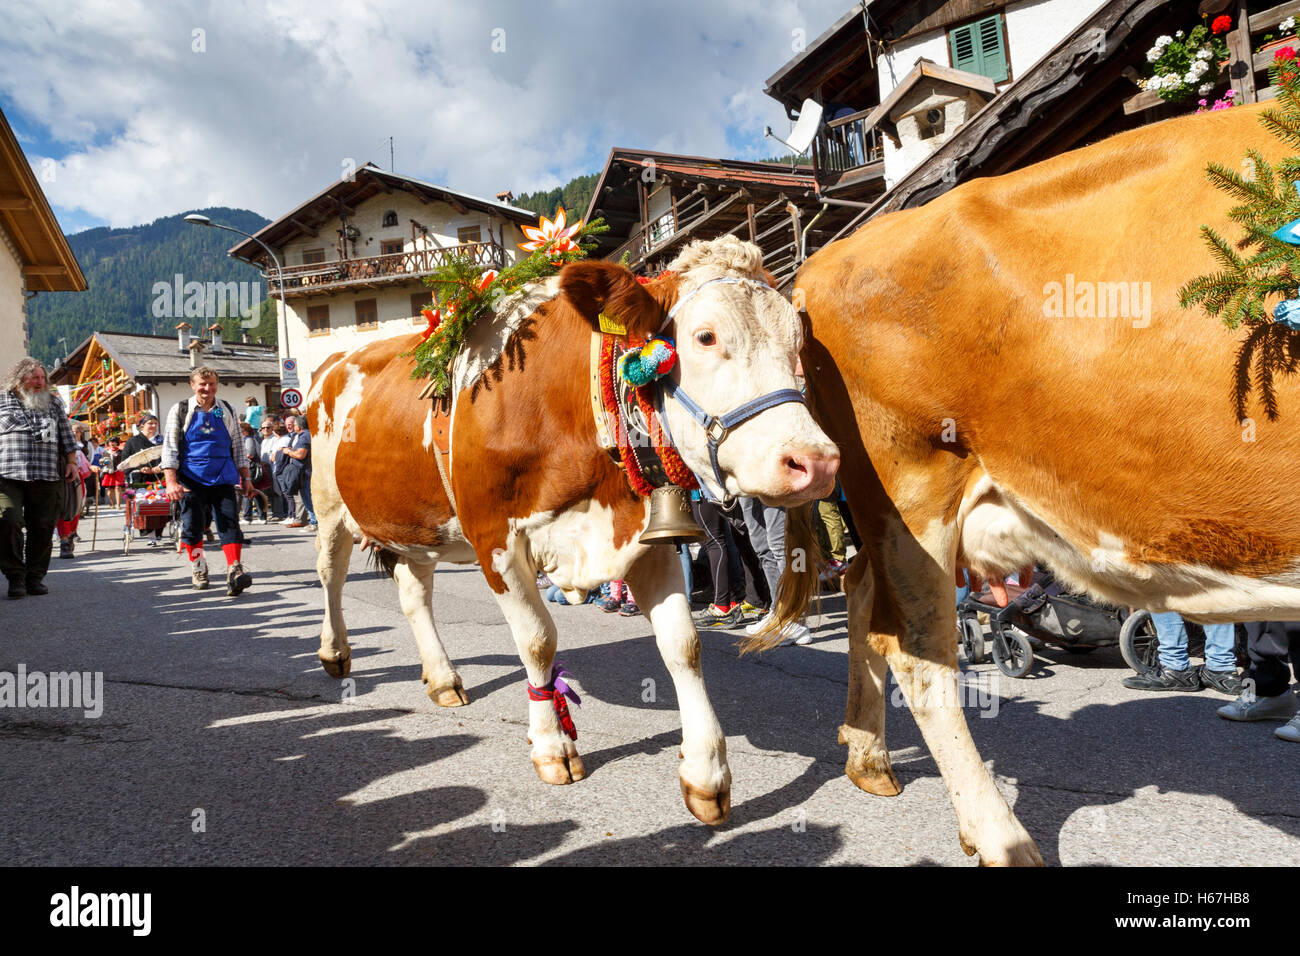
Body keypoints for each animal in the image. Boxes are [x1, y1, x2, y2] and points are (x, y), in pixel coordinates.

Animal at [302, 235, 837, 827]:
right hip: (329, 504)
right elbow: (537, 641)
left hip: (415, 524)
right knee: (330, 574)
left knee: (415, 595)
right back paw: (335, 653)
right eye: (705, 336)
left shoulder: (644, 536)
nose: (816, 462)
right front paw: (553, 747)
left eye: (797, 343)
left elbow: (683, 645)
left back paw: (443, 678)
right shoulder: (496, 541)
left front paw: (706, 775)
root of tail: (337, 360)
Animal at [785, 102, 1300, 868]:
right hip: (910, 492)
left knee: (860, 595)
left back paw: (870, 760)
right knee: (919, 653)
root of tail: (824, 258)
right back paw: (1002, 836)